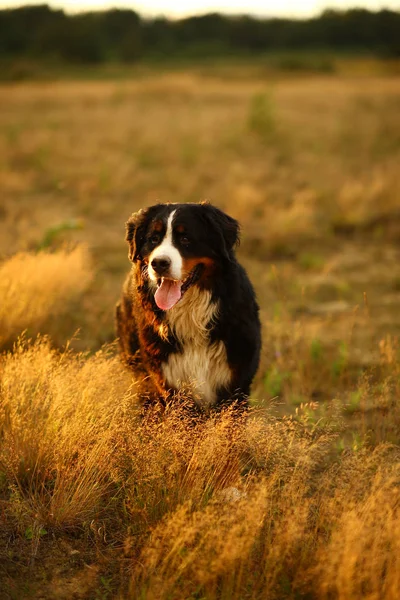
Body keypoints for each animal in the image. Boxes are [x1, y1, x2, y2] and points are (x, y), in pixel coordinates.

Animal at [115, 203, 260, 412]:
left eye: (185, 238)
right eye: (153, 239)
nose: (159, 263)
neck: (191, 315)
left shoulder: (235, 384)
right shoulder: (168, 383)